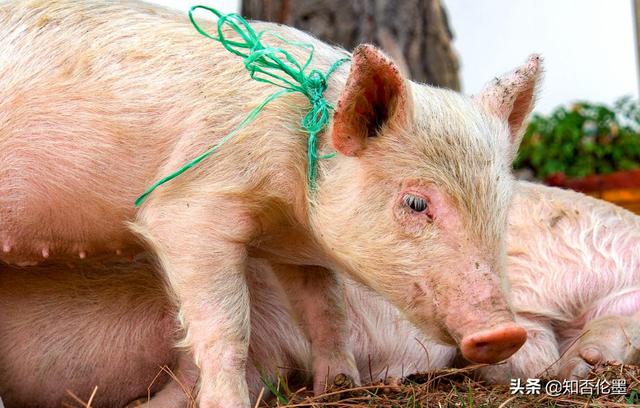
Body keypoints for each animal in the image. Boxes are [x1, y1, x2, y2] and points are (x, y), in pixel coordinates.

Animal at [0, 0, 540, 404]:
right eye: (415, 203)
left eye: (502, 204)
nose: (506, 334)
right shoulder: (189, 210)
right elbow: (227, 325)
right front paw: (231, 402)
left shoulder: (296, 248)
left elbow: (328, 312)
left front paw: (342, 388)